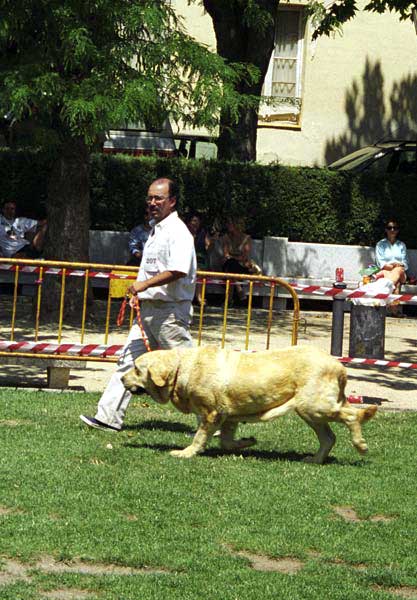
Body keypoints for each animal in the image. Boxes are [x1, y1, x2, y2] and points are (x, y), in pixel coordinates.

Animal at [121, 344, 376, 462]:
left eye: (136, 369)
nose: (122, 378)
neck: (181, 368)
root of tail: (339, 366)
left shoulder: (211, 413)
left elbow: (199, 437)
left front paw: (187, 453)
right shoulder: (227, 415)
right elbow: (226, 441)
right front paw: (247, 441)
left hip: (313, 406)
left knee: (352, 415)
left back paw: (361, 444)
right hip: (310, 412)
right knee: (329, 437)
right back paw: (315, 459)